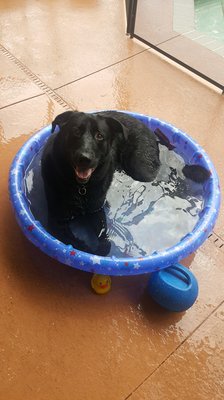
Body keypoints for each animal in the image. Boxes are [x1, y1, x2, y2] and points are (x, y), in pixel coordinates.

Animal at [41, 111, 160, 252]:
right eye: (76, 131)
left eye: (99, 136)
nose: (84, 158)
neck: (80, 188)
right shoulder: (57, 220)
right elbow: (77, 244)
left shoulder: (96, 211)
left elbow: (104, 239)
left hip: (142, 170)